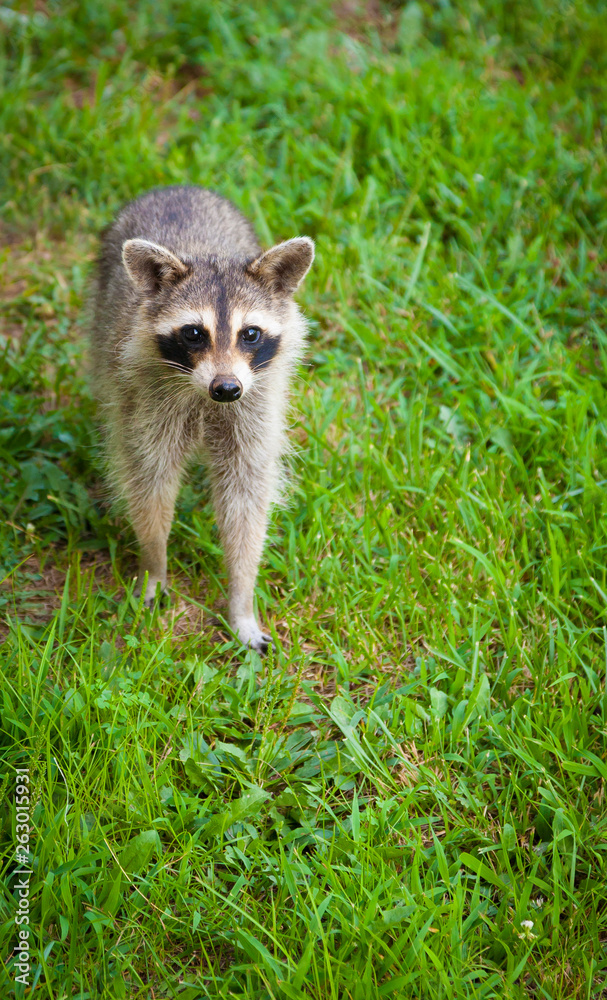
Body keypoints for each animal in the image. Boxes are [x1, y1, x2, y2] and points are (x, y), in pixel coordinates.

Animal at [91, 185, 314, 653]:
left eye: (250, 334)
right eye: (194, 333)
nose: (225, 388)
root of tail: (178, 188)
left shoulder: (255, 406)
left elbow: (246, 501)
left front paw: (242, 598)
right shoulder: (146, 402)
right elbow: (149, 484)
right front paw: (154, 563)